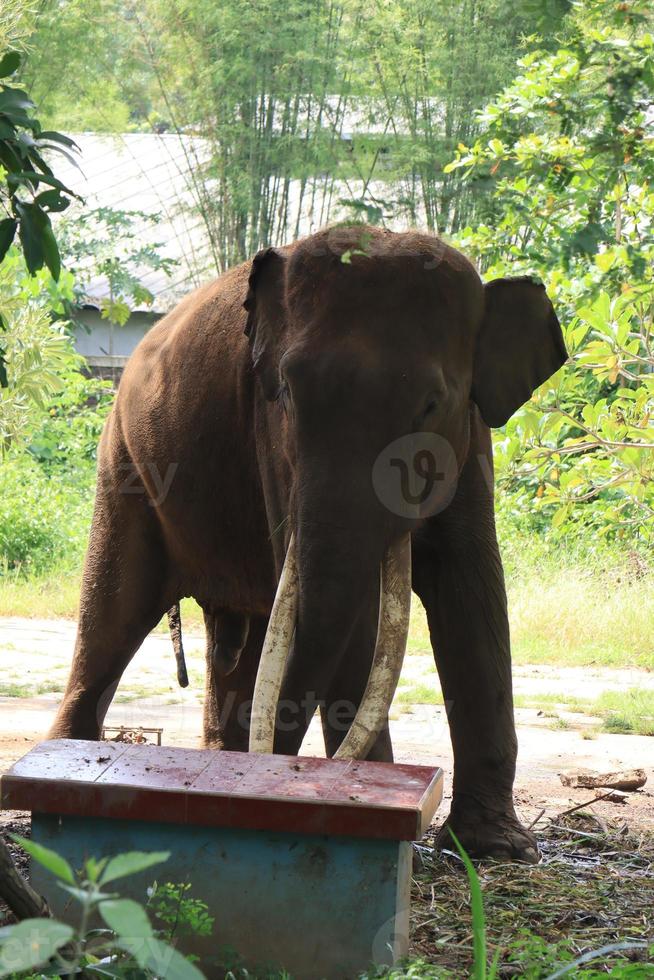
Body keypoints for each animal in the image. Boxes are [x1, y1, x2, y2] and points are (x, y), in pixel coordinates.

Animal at [48, 226, 568, 860]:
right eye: (289, 393)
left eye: (430, 405)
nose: (278, 769)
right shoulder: (272, 439)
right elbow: (359, 617)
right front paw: (368, 793)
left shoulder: (472, 440)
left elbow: (471, 593)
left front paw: (495, 849)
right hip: (124, 467)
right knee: (114, 611)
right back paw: (72, 762)